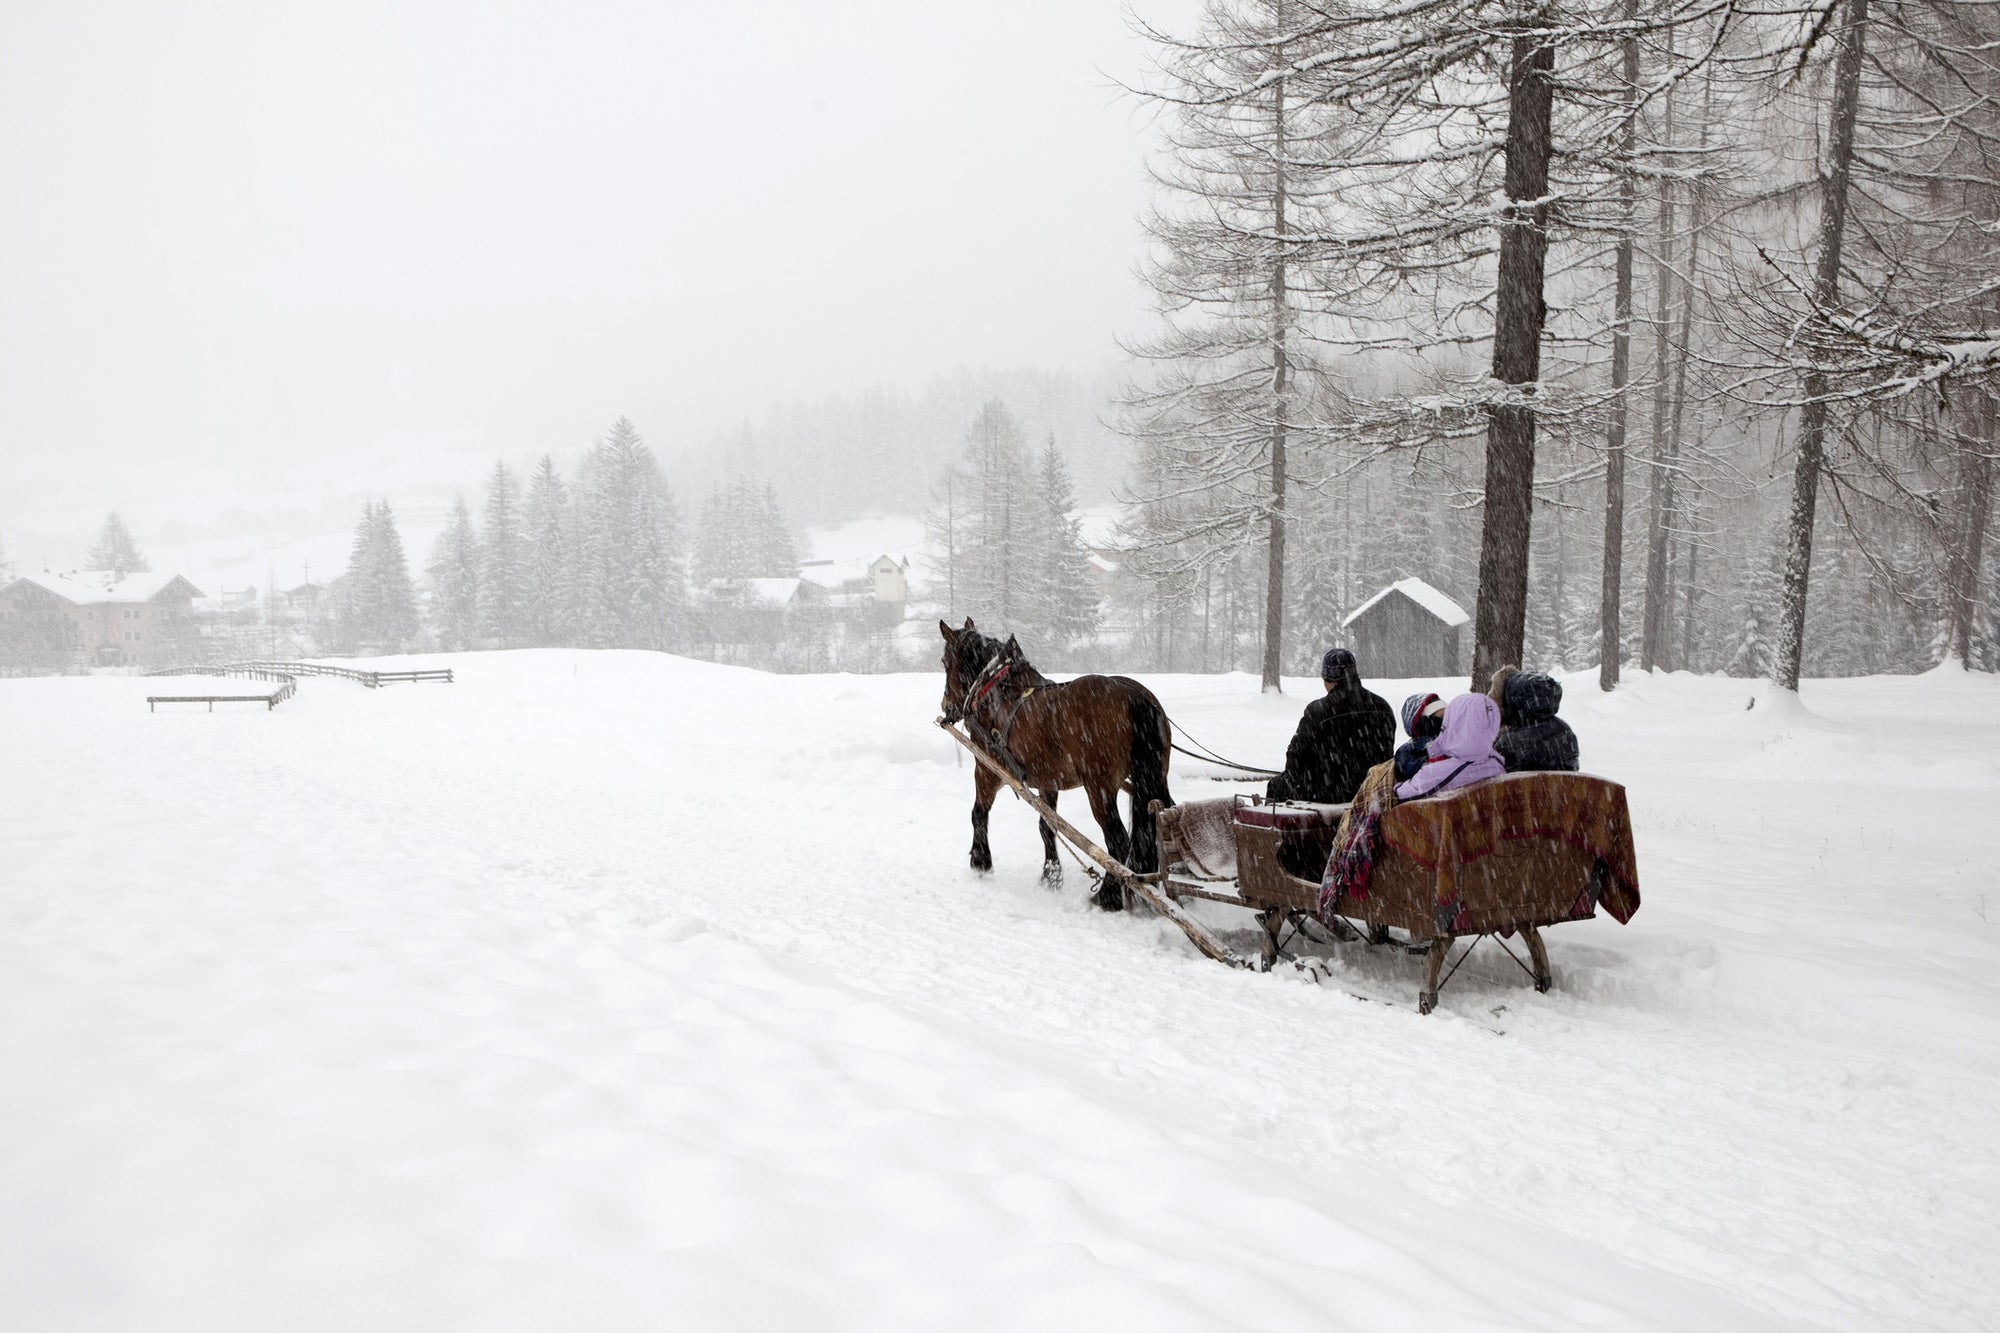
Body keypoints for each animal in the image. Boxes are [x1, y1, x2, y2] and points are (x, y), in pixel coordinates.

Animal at [936, 616, 1168, 908]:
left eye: (944, 662)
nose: (945, 704)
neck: (996, 693)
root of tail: (1133, 696)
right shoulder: (1049, 781)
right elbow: (1047, 826)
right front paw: (1051, 875)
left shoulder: (988, 769)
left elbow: (978, 813)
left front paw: (981, 862)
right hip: (1155, 777)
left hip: (1099, 787)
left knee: (1117, 841)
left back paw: (1107, 896)